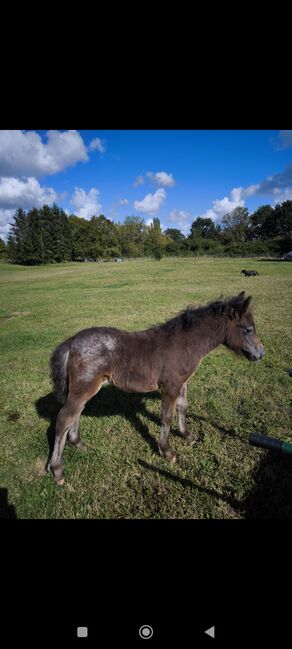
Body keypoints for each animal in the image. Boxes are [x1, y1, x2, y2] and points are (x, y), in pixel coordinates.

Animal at [48, 292, 264, 484]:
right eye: (247, 329)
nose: (261, 353)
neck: (185, 344)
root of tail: (71, 343)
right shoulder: (170, 386)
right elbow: (166, 417)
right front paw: (167, 451)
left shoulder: (182, 383)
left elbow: (182, 407)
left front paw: (187, 436)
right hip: (83, 389)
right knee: (64, 418)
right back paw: (58, 471)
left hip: (83, 390)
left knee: (76, 413)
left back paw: (78, 443)